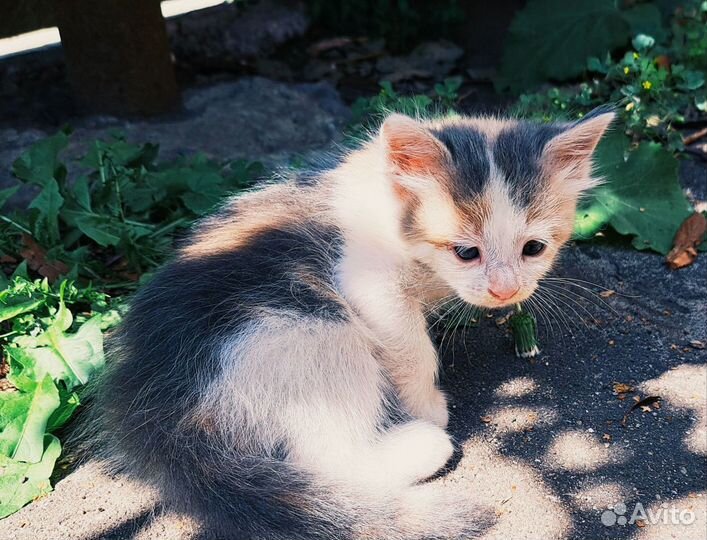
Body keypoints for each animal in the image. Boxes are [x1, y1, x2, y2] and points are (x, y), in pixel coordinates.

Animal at [92, 110, 612, 540]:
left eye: (534, 249)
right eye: (466, 252)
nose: (506, 291)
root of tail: (159, 411)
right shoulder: (364, 278)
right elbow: (410, 347)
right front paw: (424, 404)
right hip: (306, 327)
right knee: (324, 455)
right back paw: (422, 445)